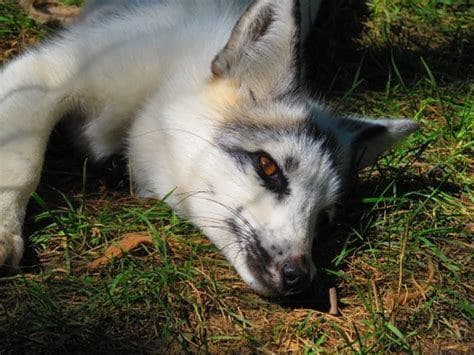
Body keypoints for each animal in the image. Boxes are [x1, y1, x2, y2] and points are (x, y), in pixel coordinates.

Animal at [0, 0, 414, 298]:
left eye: (325, 219)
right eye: (267, 166)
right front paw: (4, 229)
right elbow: (22, 163)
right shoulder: (47, 74)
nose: (300, 277)